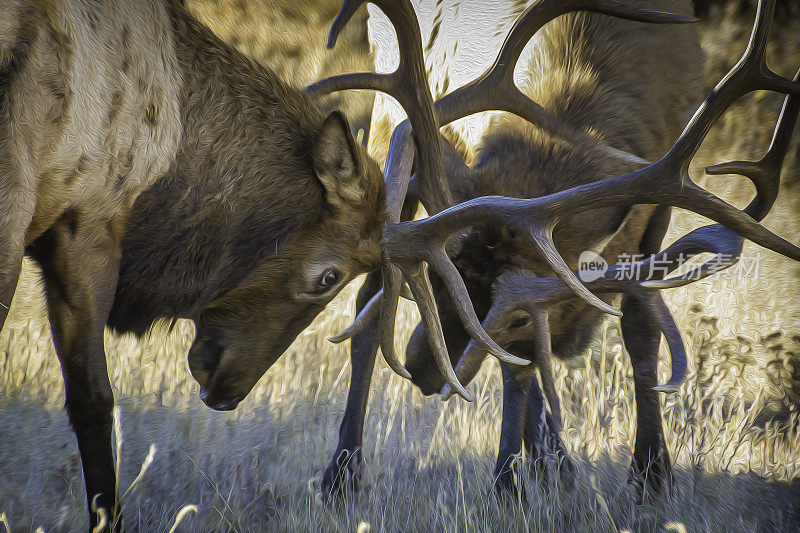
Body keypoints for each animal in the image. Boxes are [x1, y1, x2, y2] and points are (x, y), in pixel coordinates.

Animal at [310, 0, 800, 498]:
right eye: (438, 284)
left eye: (516, 319)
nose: (420, 370)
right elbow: (516, 365)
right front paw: (513, 480)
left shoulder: (660, 205)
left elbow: (638, 329)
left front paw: (650, 473)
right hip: (387, 131)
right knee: (368, 299)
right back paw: (342, 474)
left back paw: (555, 464)